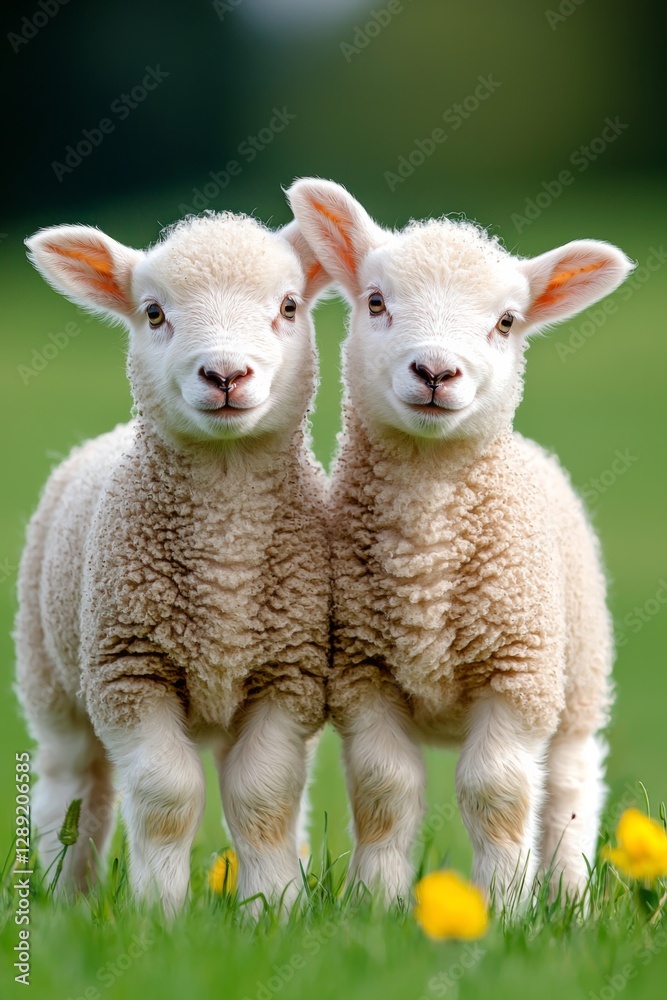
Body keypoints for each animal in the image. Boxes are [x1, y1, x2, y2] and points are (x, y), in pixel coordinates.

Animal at [15, 212, 331, 916]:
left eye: (288, 306)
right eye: (154, 313)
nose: (225, 374)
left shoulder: (289, 674)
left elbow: (264, 799)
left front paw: (273, 911)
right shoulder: (129, 670)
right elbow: (166, 798)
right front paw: (160, 913)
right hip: (51, 674)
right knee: (72, 788)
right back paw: (65, 896)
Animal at [287, 178, 633, 907]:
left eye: (505, 322)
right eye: (376, 301)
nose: (435, 371)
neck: (428, 548)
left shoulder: (518, 674)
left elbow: (496, 794)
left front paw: (505, 905)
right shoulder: (363, 674)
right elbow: (385, 793)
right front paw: (376, 904)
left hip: (578, 677)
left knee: (567, 790)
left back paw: (568, 898)